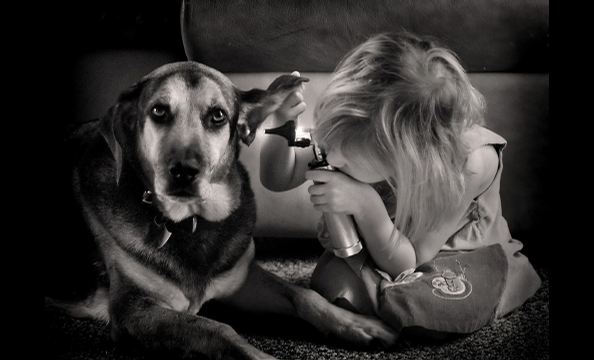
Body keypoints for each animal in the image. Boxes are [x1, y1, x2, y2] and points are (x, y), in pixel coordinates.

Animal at [51, 60, 396, 358]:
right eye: (158, 110)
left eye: (218, 116)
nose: (184, 172)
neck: (192, 222)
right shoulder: (133, 310)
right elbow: (217, 329)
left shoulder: (241, 280)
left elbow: (303, 294)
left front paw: (356, 324)